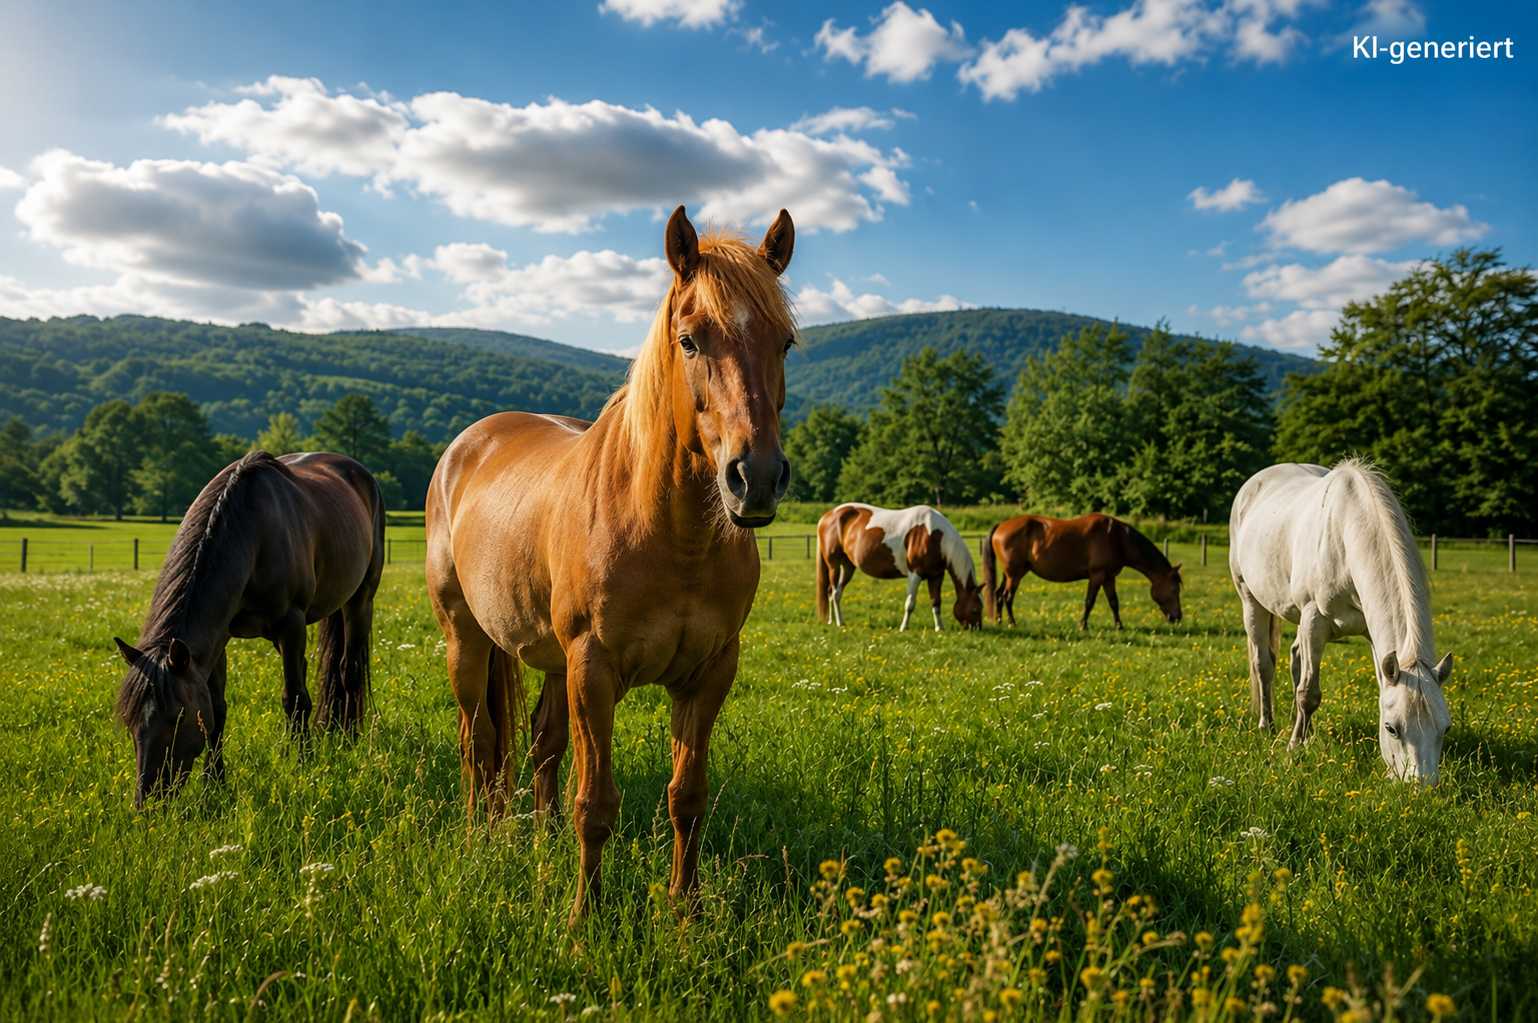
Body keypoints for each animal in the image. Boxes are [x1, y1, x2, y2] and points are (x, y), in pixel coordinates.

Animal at [113, 450, 384, 806]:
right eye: (130, 720)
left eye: (177, 718)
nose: (148, 801)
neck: (252, 536)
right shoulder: (216, 641)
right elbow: (217, 710)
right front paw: (214, 783)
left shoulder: (292, 624)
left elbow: (295, 699)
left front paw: (303, 766)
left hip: (359, 599)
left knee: (348, 669)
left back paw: (347, 739)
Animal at [425, 206, 796, 923]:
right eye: (689, 340)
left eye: (786, 342)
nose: (756, 479)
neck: (673, 536)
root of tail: (467, 444)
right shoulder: (592, 671)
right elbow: (595, 802)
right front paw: (584, 918)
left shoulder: (710, 674)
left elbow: (687, 796)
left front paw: (685, 911)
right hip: (467, 639)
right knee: (477, 740)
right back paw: (480, 839)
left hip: (544, 658)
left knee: (539, 747)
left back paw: (538, 847)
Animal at [816, 504, 983, 631]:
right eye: (975, 609)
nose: (976, 629)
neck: (934, 536)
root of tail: (828, 516)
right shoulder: (915, 575)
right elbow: (910, 604)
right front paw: (903, 628)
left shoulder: (936, 576)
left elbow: (936, 602)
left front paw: (939, 628)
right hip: (834, 565)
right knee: (834, 592)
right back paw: (839, 622)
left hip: (848, 567)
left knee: (833, 592)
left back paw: (833, 621)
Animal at [983, 513, 1182, 630]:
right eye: (1174, 589)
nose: (1178, 617)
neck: (1118, 538)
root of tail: (1001, 525)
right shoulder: (1097, 576)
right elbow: (1089, 602)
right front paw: (1083, 625)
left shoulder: (1109, 578)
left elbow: (1114, 602)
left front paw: (1119, 626)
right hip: (1015, 574)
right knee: (1007, 596)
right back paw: (1012, 623)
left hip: (1009, 573)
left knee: (998, 594)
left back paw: (999, 621)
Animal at [1229, 460, 1453, 782]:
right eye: (1392, 728)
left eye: (1445, 728)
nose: (1421, 786)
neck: (1345, 538)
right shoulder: (1313, 621)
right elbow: (1308, 694)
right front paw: (1293, 749)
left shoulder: (1372, 636)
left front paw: (1303, 738)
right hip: (1250, 599)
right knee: (1264, 665)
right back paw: (1267, 725)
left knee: (1296, 660)